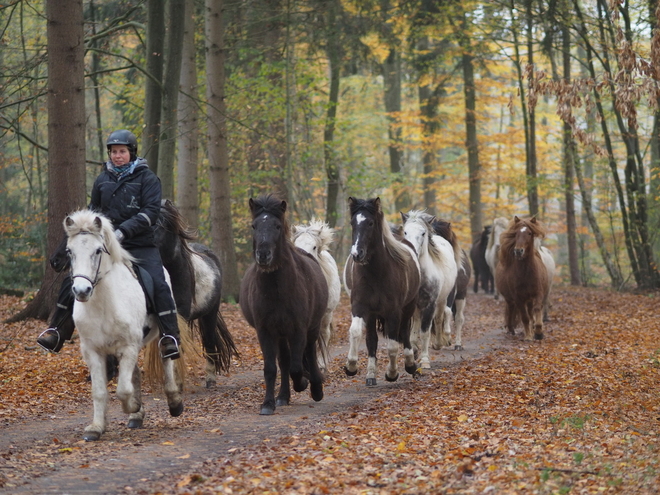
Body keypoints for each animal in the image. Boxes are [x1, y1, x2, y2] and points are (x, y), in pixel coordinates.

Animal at [238, 196, 328, 416]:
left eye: (277, 226)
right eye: (254, 226)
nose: (263, 255)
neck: (276, 289)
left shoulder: (298, 329)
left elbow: (297, 366)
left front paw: (304, 383)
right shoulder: (265, 330)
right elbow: (272, 368)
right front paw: (268, 403)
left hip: (311, 327)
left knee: (309, 353)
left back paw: (316, 388)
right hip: (280, 334)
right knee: (285, 361)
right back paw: (283, 396)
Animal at [342, 198, 420, 388]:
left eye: (370, 223)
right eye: (352, 223)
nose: (357, 254)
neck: (376, 273)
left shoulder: (394, 311)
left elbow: (392, 345)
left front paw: (391, 373)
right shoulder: (360, 307)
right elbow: (356, 332)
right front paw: (351, 366)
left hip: (408, 307)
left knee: (404, 333)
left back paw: (410, 365)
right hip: (372, 316)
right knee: (372, 340)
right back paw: (371, 375)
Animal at [400, 210, 456, 368]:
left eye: (423, 233)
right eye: (405, 232)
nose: (411, 251)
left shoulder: (430, 304)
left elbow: (425, 332)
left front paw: (425, 360)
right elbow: (411, 332)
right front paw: (413, 352)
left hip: (442, 299)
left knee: (439, 318)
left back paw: (438, 343)